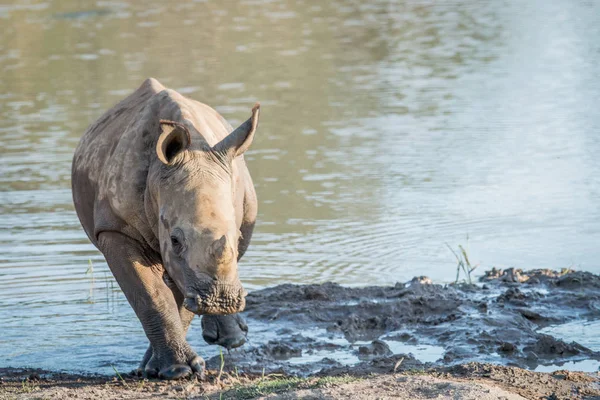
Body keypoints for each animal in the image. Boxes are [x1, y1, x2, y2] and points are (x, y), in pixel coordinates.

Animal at [70, 78, 258, 378]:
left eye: (237, 235)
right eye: (175, 240)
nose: (220, 300)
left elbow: (181, 298)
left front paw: (168, 368)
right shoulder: (116, 228)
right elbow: (152, 296)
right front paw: (176, 370)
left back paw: (231, 340)